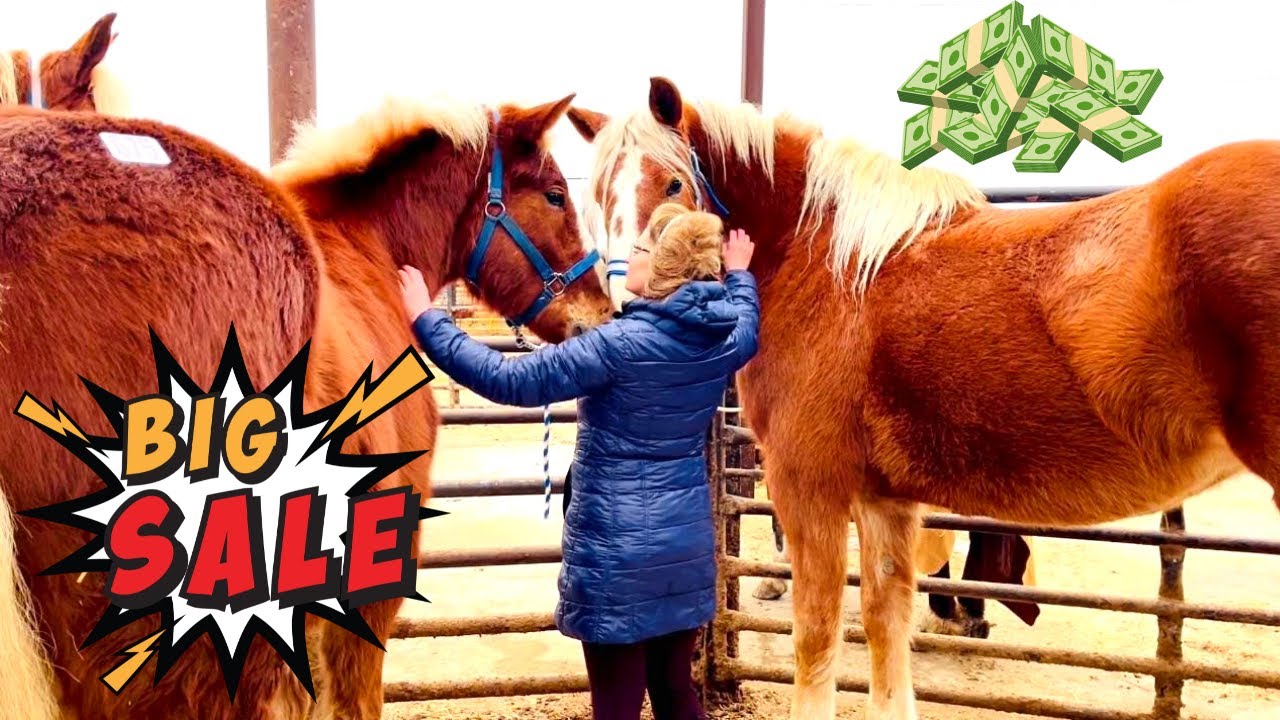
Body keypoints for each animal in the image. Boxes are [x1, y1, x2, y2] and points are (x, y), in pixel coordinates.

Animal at [567, 76, 1279, 719]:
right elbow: (888, 632)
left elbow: (817, 642)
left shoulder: (808, 490)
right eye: (595, 198)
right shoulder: (885, 502)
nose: (630, 308)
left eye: (672, 184)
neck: (823, 261)